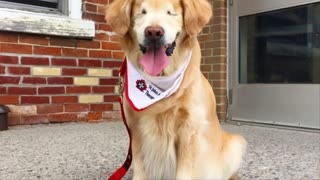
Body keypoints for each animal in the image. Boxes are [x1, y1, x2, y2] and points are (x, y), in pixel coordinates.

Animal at [106, 0, 246, 179]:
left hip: (235, 144)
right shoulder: (136, 130)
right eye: (142, 12)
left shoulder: (189, 131)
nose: (153, 32)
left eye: (170, 13)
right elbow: (140, 167)